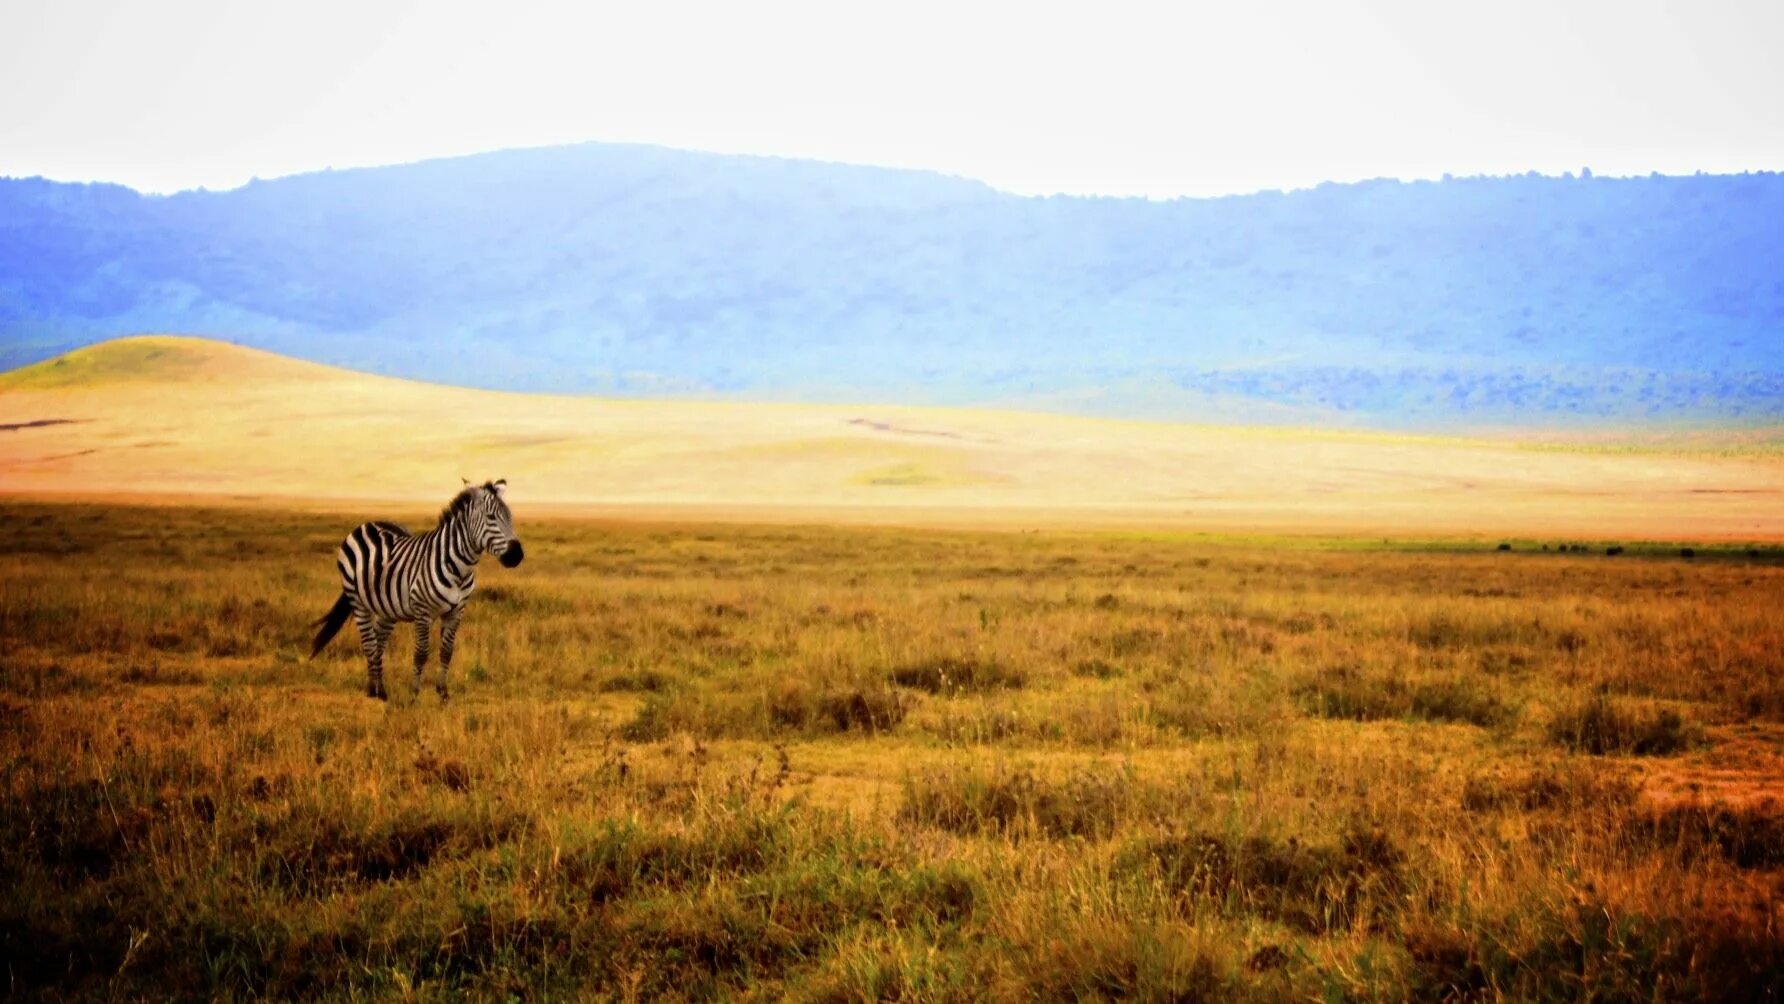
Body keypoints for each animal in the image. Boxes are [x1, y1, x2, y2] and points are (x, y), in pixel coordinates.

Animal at [310, 477, 520, 699]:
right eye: (491, 517)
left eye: (510, 517)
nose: (517, 555)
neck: (459, 569)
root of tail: (368, 524)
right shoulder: (423, 611)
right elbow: (421, 653)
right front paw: (415, 694)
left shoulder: (457, 611)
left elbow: (447, 651)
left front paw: (443, 693)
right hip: (358, 601)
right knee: (369, 643)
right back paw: (372, 690)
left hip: (388, 608)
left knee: (379, 642)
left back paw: (380, 690)